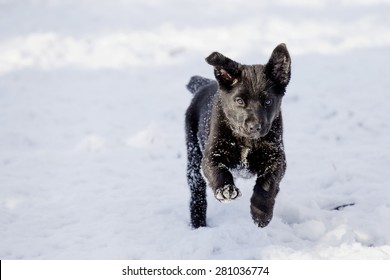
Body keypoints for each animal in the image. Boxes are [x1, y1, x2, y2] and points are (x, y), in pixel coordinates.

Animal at [185, 43, 290, 228]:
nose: (254, 127)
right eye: (239, 101)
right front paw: (226, 190)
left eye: (268, 101)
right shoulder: (212, 155)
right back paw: (198, 224)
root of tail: (205, 84)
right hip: (193, 156)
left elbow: (268, 184)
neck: (247, 141)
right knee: (197, 192)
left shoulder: (276, 157)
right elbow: (219, 171)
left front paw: (261, 213)